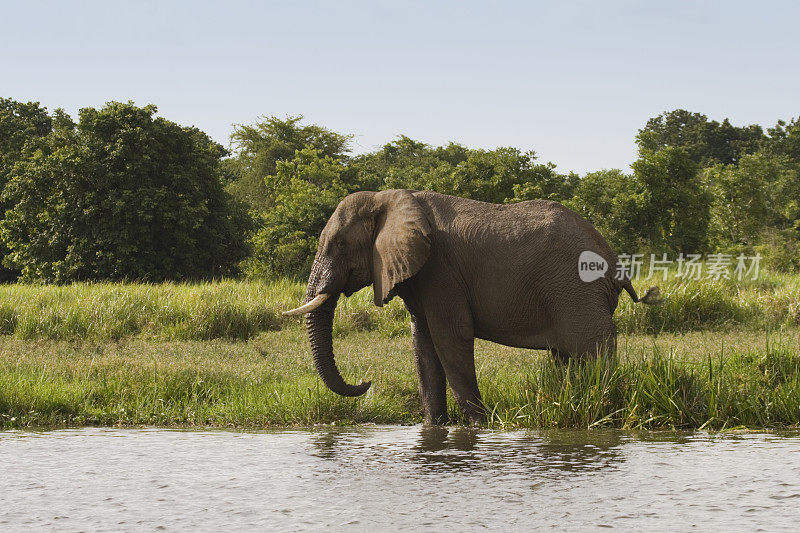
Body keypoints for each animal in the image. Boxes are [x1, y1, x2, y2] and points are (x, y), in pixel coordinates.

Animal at [284, 188, 660, 424]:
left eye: (340, 244)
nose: (366, 381)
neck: (388, 198)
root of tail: (615, 262)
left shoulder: (441, 269)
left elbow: (451, 338)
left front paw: (480, 426)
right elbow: (424, 345)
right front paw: (434, 428)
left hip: (577, 291)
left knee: (593, 353)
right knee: (568, 359)